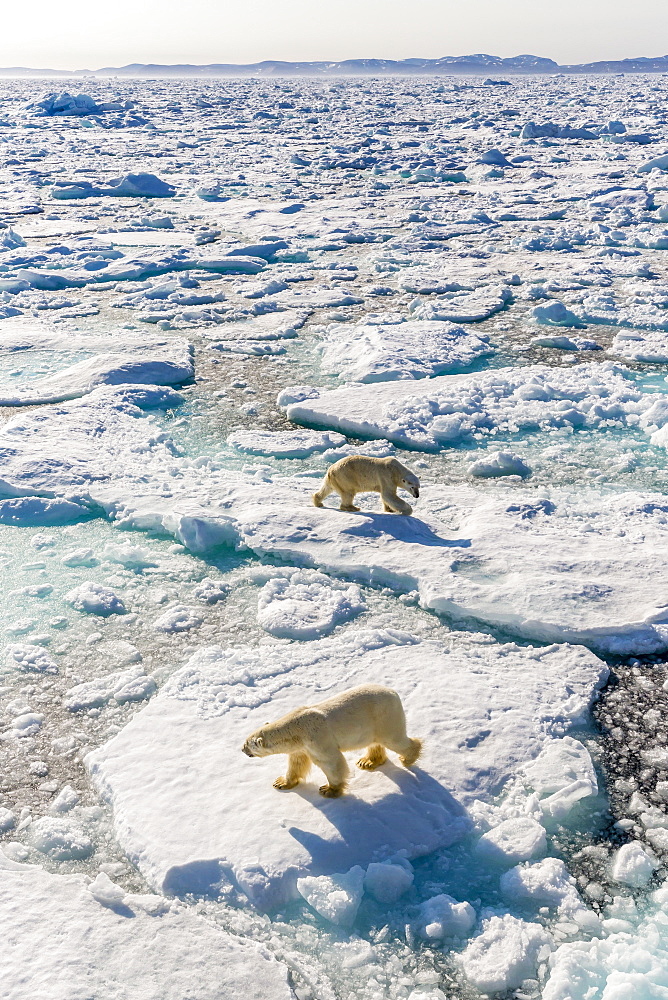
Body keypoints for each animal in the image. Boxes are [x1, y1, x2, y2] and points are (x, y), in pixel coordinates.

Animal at [241, 680, 422, 796]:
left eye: (248, 744)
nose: (242, 749)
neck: (296, 729)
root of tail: (393, 692)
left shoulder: (316, 738)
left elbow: (330, 762)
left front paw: (329, 789)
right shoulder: (302, 746)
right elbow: (297, 762)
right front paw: (281, 783)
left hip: (384, 716)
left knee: (394, 739)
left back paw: (408, 757)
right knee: (375, 741)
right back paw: (367, 761)